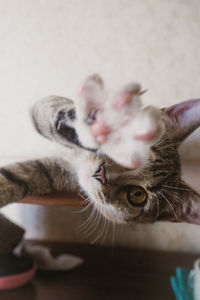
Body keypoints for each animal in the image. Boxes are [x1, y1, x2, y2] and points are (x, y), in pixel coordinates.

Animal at [0, 75, 200, 225]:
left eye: (137, 195)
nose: (101, 174)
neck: (76, 158)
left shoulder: (53, 172)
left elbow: (16, 177)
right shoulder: (48, 105)